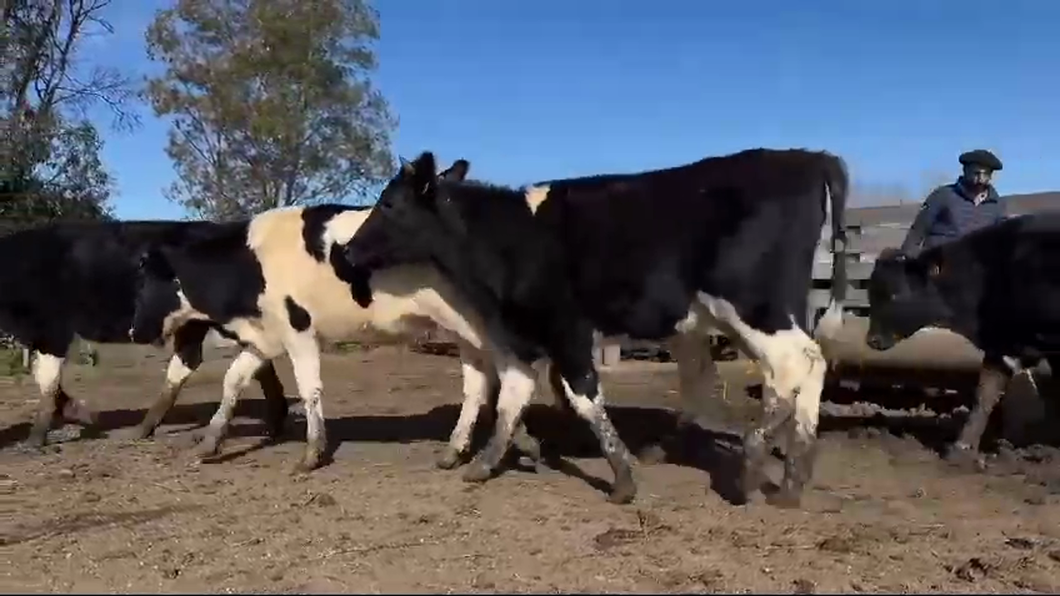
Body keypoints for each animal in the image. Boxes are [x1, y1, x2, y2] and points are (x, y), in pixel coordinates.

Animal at [343, 146, 847, 502]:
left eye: (389, 203)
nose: (347, 251)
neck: (511, 236)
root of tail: (807, 156)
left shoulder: (566, 329)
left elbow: (583, 397)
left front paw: (622, 478)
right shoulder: (523, 337)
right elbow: (512, 398)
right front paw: (484, 464)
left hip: (753, 306)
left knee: (792, 365)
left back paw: (753, 458)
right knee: (810, 364)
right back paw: (792, 480)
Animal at [864, 212, 1060, 464]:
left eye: (895, 294)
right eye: (870, 294)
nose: (872, 339)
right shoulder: (1004, 346)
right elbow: (984, 397)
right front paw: (961, 449)